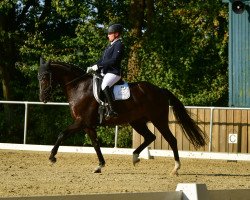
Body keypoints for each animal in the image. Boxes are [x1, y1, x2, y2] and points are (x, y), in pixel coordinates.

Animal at [37, 57, 205, 175]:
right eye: (38, 77)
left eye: (45, 77)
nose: (42, 97)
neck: (79, 87)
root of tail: (160, 90)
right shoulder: (88, 125)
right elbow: (95, 144)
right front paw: (99, 165)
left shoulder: (81, 122)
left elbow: (61, 134)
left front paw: (52, 158)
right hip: (137, 122)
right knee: (150, 137)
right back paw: (135, 157)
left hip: (158, 120)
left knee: (171, 140)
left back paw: (175, 168)